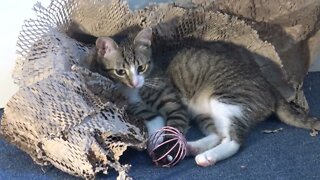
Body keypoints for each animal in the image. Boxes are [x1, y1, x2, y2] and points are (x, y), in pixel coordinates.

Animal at [92, 27, 320, 167]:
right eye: (120, 72)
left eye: (141, 67)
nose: (134, 82)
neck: (138, 89)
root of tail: (269, 86)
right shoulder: (138, 108)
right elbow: (156, 122)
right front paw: (157, 142)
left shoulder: (173, 102)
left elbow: (174, 126)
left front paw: (169, 149)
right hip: (204, 110)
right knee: (218, 134)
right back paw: (194, 147)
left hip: (226, 99)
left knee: (234, 140)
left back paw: (207, 155)